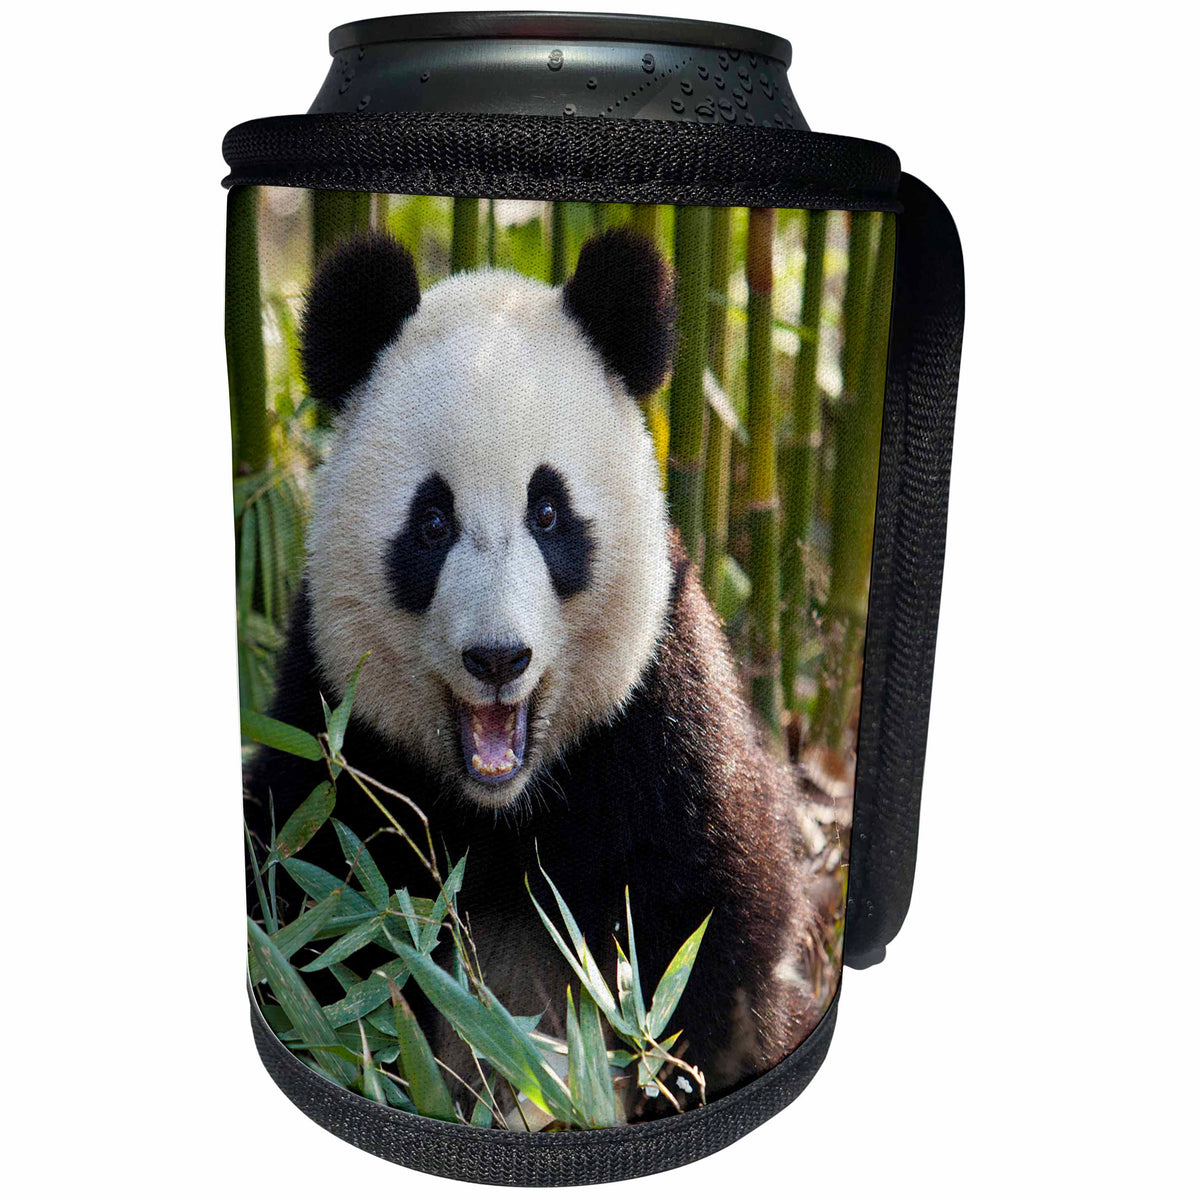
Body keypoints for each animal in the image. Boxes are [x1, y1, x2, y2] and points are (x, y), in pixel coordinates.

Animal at [247, 226, 825, 1109]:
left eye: (548, 513)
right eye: (432, 522)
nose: (497, 657)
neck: (501, 810)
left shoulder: (660, 730)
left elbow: (714, 942)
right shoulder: (334, 748)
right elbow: (320, 944)